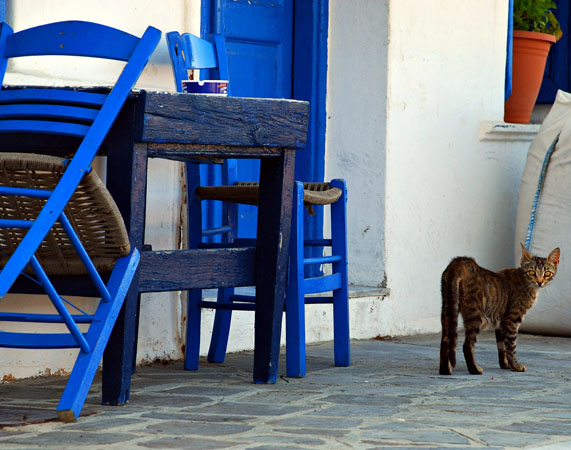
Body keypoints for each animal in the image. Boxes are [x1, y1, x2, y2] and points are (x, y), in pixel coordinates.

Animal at [440, 244, 560, 374]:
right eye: (532, 272)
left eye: (547, 273)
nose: (540, 282)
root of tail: (459, 262)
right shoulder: (511, 320)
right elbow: (511, 346)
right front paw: (515, 366)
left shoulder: (500, 322)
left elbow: (502, 346)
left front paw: (505, 364)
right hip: (475, 315)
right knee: (467, 345)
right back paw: (474, 369)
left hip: (447, 307)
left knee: (445, 341)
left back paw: (445, 370)